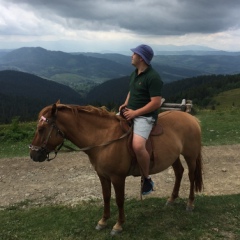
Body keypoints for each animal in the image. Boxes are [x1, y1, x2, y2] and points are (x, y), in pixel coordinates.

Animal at [29, 101, 203, 234]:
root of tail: (191, 118)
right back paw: (172, 199)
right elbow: (106, 197)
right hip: (174, 156)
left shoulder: (117, 177)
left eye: (41, 129)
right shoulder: (102, 175)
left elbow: (119, 200)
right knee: (179, 172)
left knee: (191, 176)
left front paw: (118, 225)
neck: (103, 139)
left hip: (190, 155)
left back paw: (190, 204)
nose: (33, 155)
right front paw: (103, 221)